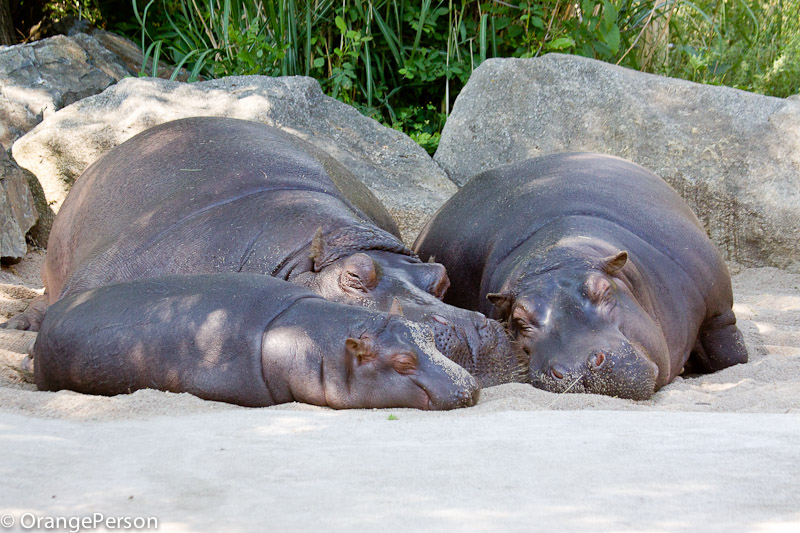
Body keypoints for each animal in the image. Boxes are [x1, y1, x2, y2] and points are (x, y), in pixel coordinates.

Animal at [414, 153, 748, 400]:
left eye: (603, 291)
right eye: (519, 321)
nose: (576, 369)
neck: (558, 256)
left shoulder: (719, 314)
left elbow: (730, 357)